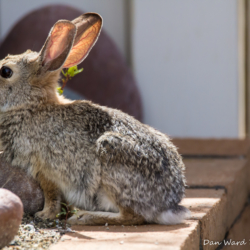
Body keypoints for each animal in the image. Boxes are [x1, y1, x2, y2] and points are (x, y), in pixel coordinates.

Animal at [0, 12, 189, 226]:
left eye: (5, 71)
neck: (32, 106)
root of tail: (168, 205)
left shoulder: (45, 170)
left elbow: (51, 196)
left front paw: (44, 215)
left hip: (111, 162)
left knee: (132, 216)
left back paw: (85, 216)